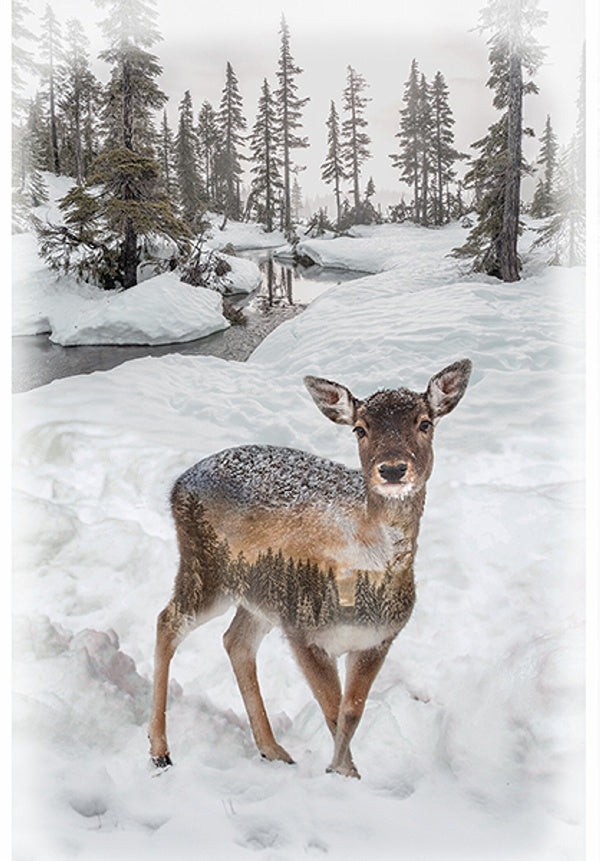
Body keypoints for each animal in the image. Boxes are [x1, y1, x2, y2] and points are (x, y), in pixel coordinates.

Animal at [148, 359, 472, 779]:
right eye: (360, 428)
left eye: (425, 422)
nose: (393, 469)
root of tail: (178, 484)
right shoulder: (304, 630)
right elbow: (333, 711)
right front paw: (343, 775)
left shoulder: (379, 638)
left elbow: (352, 712)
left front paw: (345, 773)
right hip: (207, 568)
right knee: (167, 621)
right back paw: (160, 750)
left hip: (261, 593)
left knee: (235, 641)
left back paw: (272, 749)